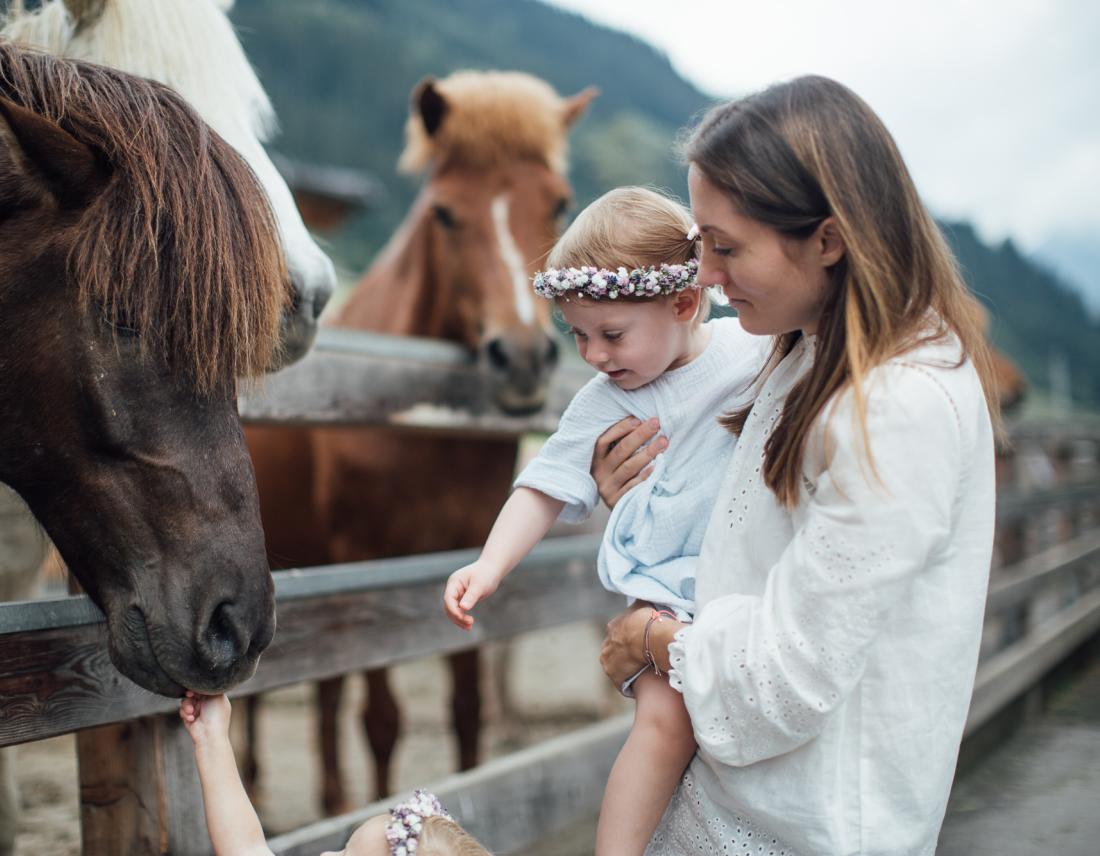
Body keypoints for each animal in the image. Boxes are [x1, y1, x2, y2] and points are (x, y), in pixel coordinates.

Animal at [246, 70, 598, 809]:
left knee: (325, 696)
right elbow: (382, 721)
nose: (522, 358)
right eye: (444, 213)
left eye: (558, 203)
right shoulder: (368, 560)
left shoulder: (468, 546)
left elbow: (467, 711)